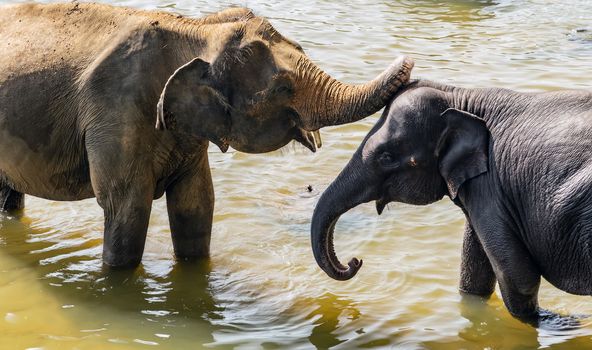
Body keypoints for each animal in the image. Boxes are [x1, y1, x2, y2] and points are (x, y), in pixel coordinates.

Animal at [310, 78, 592, 324]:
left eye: (386, 157)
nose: (355, 261)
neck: (461, 96)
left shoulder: (491, 188)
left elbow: (518, 275)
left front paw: (555, 322)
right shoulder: (482, 190)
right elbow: (474, 271)